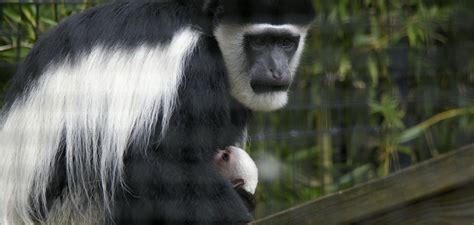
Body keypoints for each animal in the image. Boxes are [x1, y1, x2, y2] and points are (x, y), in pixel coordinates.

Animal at [0, 0, 314, 224]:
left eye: (286, 43)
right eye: (259, 42)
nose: (277, 72)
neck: (203, 26)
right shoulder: (194, 63)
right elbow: (158, 160)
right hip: (74, 211)